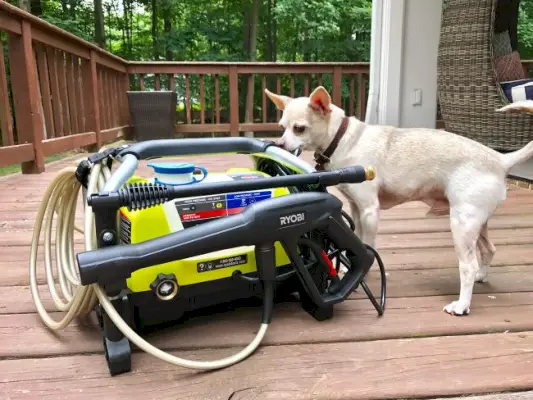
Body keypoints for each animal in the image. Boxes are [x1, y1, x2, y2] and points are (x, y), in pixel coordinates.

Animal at [266, 86, 533, 318]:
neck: (344, 139)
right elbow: (356, 241)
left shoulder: (369, 211)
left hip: (462, 224)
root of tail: (500, 159)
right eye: (281, 128)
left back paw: (462, 304)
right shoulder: (356, 209)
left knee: (467, 265)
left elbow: (366, 244)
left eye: (299, 129)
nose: (279, 144)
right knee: (488, 250)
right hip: (477, 222)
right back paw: (481, 276)